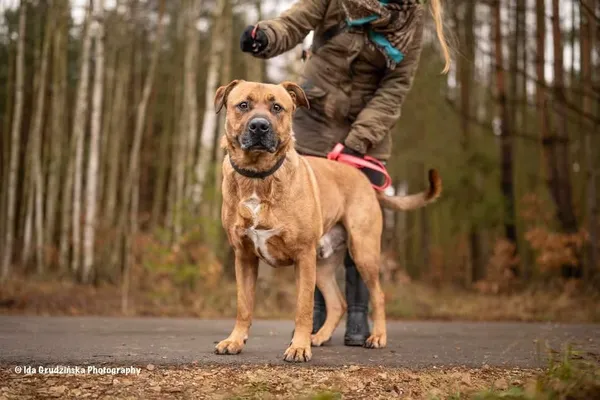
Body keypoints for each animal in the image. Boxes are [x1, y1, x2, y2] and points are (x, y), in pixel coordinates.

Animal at [214, 79, 440, 362]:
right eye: (243, 105)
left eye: (277, 108)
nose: (259, 126)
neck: (258, 176)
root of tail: (365, 181)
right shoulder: (244, 257)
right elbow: (244, 305)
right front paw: (235, 340)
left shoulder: (303, 256)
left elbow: (303, 308)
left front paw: (299, 347)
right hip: (322, 264)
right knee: (337, 303)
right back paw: (319, 336)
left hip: (362, 252)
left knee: (377, 295)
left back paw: (376, 337)